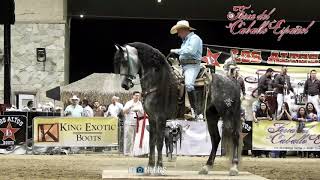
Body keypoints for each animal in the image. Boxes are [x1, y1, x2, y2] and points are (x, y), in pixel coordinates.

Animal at [114, 42, 241, 176]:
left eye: (124, 61)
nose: (124, 85)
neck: (158, 83)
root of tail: (232, 81)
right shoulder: (152, 119)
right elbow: (151, 143)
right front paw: (149, 168)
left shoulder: (161, 119)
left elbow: (159, 143)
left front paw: (159, 168)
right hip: (212, 116)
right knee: (216, 139)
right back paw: (206, 167)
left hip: (229, 114)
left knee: (235, 135)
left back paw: (234, 167)